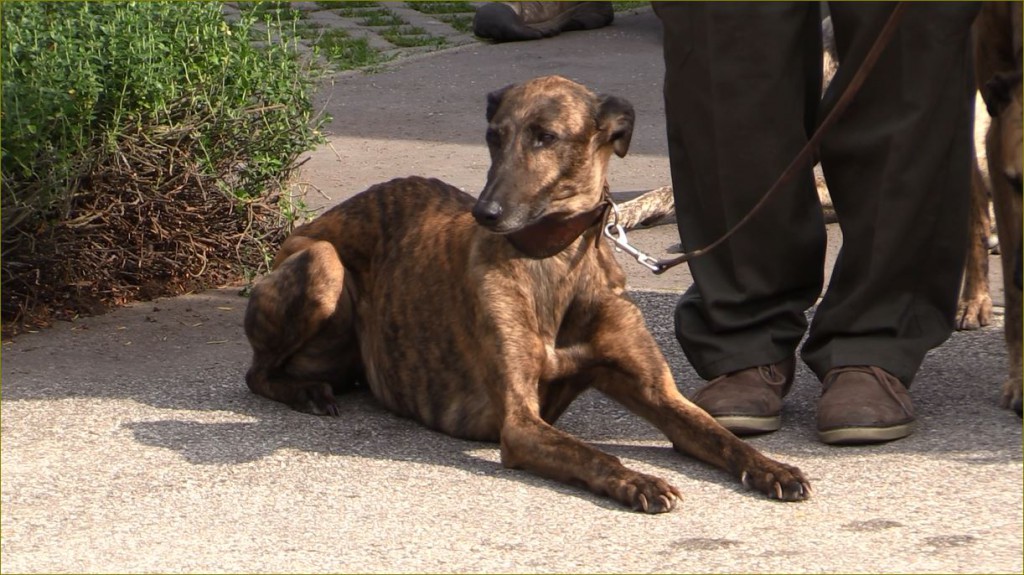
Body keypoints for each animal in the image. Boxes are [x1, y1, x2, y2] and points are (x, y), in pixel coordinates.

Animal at [243, 75, 811, 509]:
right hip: (323, 265)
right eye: (494, 136)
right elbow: (595, 452)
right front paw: (639, 480)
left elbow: (721, 436)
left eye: (546, 136)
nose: (486, 213)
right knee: (257, 374)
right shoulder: (520, 422)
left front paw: (774, 467)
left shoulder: (659, 395)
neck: (554, 260)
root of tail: (310, 226)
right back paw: (307, 393)